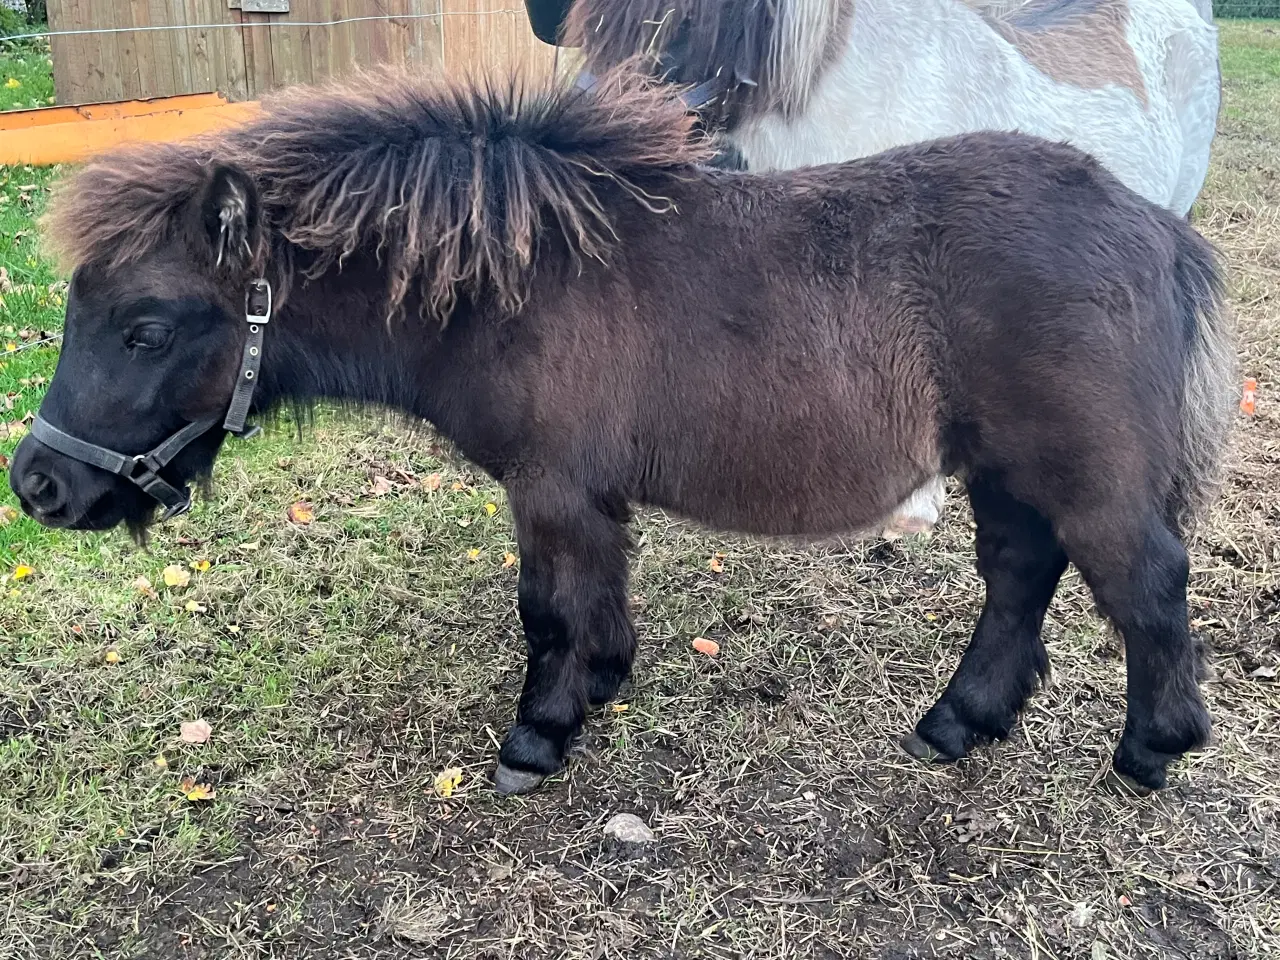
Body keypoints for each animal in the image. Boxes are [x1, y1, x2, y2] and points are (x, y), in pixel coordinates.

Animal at [7, 65, 1228, 798]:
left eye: (145, 328)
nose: (37, 487)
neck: (511, 284)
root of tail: (1148, 224)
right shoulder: (571, 495)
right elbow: (577, 606)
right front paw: (599, 686)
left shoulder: (553, 489)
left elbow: (549, 611)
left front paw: (539, 735)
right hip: (1006, 471)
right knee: (1020, 574)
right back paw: (959, 720)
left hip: (1082, 474)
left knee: (1142, 586)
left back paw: (1147, 750)